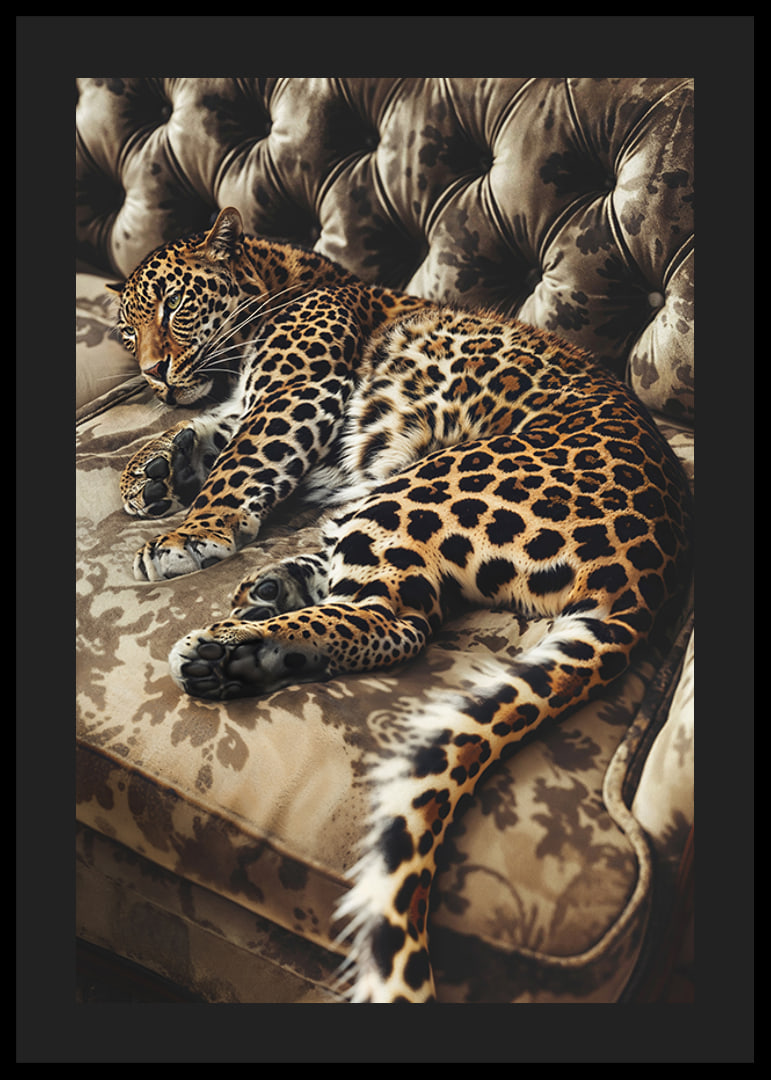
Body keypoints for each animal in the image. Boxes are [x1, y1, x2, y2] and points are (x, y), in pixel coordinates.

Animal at [108, 206, 693, 1002]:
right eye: (126, 331)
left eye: (174, 307)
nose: (150, 374)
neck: (288, 277)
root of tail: (653, 572)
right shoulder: (244, 405)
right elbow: (199, 429)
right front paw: (149, 471)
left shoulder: (294, 397)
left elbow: (238, 464)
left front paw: (190, 532)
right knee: (393, 599)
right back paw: (265, 606)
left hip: (425, 481)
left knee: (400, 619)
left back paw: (238, 648)